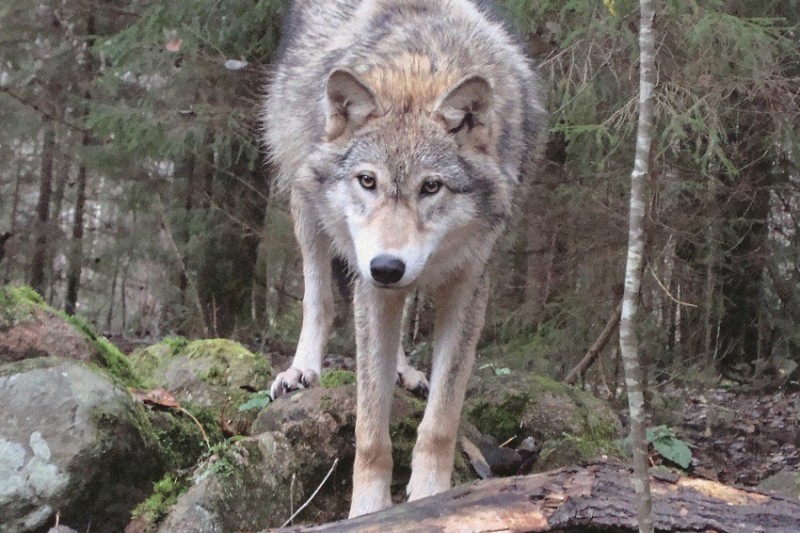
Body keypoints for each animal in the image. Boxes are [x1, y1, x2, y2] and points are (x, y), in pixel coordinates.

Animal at [262, 0, 544, 516]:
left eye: (430, 186)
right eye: (367, 181)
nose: (386, 266)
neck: (421, 63)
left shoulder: (469, 286)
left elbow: (442, 421)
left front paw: (431, 498)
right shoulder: (369, 287)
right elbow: (370, 429)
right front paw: (368, 511)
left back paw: (403, 369)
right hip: (303, 198)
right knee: (318, 295)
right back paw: (300, 372)